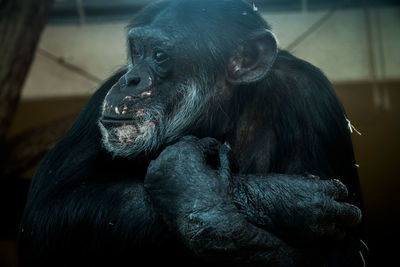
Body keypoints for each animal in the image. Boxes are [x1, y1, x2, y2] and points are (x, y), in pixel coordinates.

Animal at [20, 0, 368, 267]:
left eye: (159, 55)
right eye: (137, 50)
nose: (130, 79)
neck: (220, 115)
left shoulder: (313, 98)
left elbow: (343, 253)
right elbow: (49, 211)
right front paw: (279, 199)